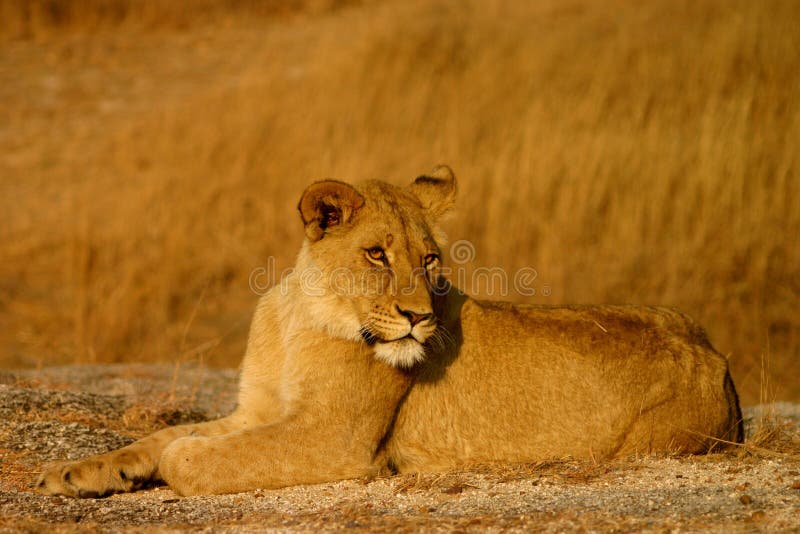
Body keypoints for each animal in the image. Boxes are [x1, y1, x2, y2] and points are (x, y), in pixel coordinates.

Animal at [32, 166, 744, 498]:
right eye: (377, 254)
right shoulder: (258, 409)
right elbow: (161, 436)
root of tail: (714, 349)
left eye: (429, 259)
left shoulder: (336, 440)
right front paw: (79, 473)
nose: (418, 316)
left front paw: (177, 462)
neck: (300, 318)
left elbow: (195, 455)